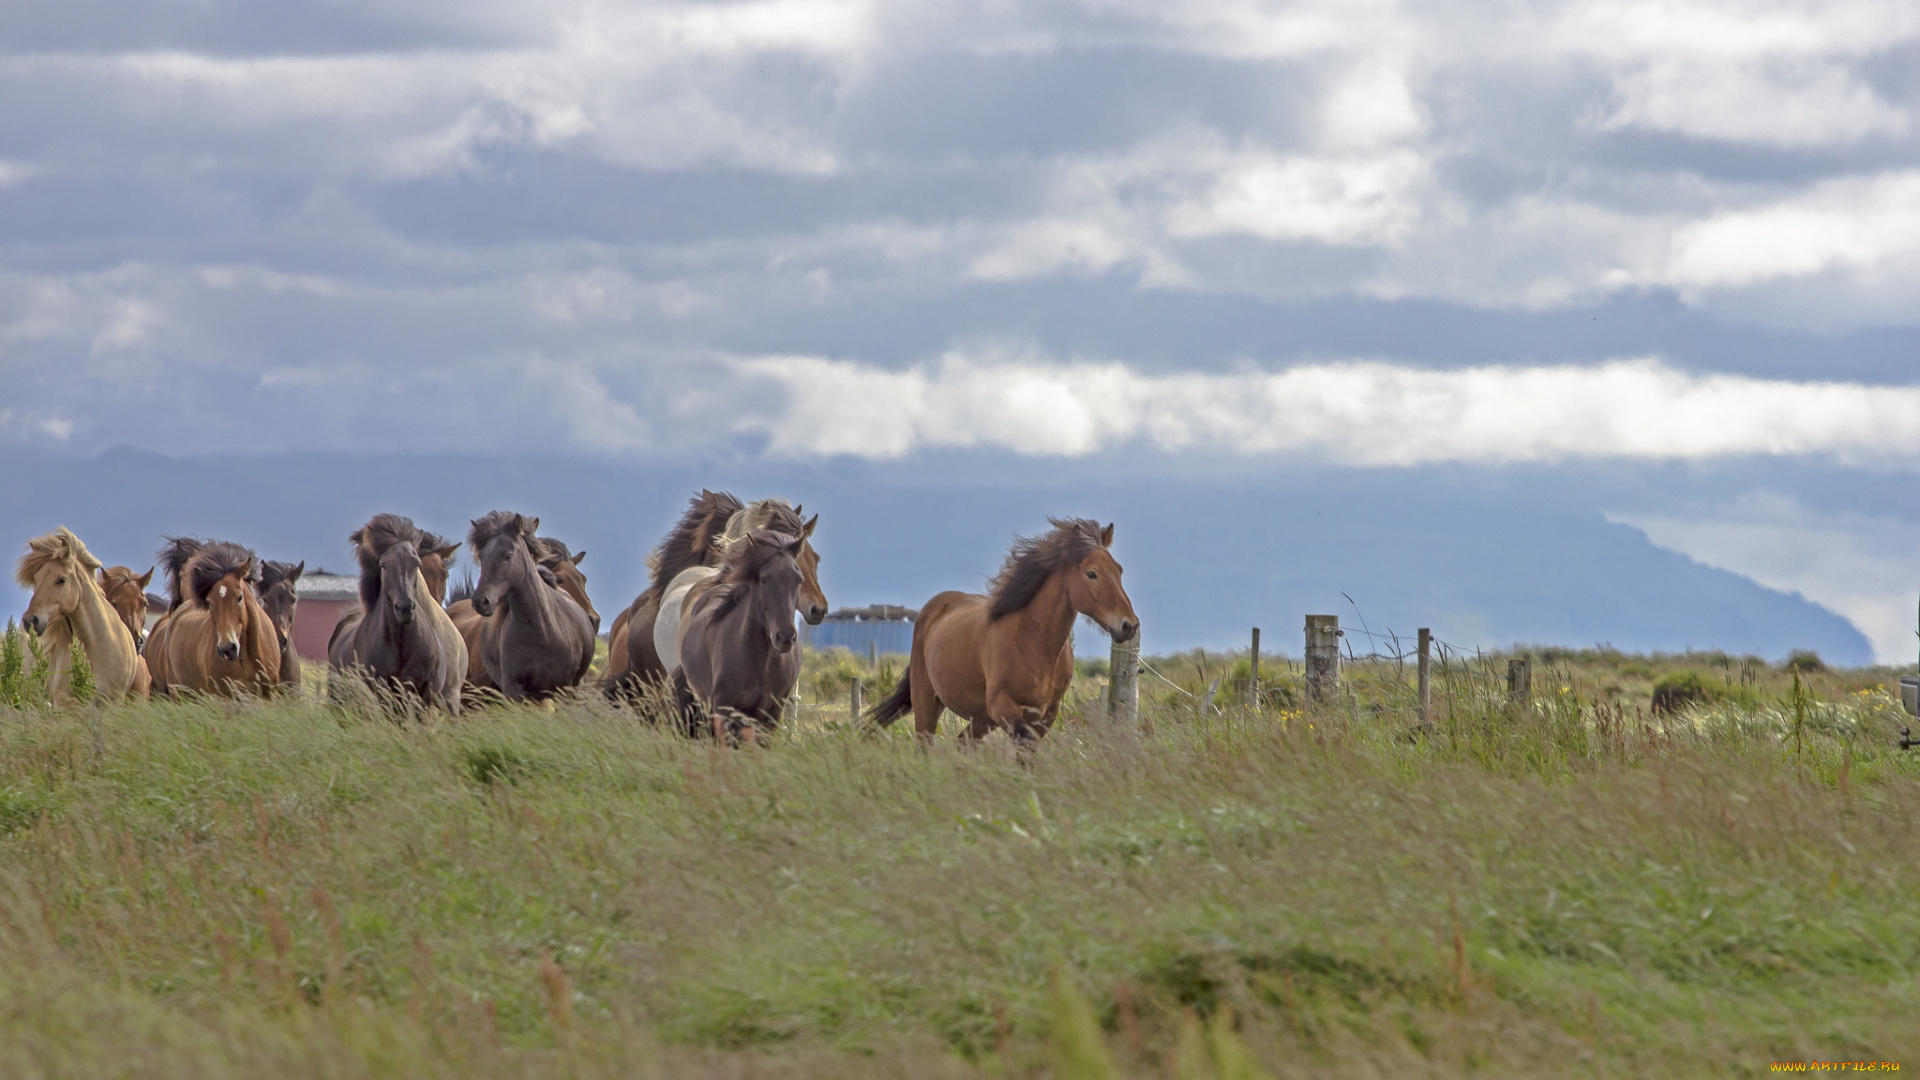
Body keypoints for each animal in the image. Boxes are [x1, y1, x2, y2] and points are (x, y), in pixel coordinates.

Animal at [672, 526, 806, 734]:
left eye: (798, 579)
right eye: (764, 579)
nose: (785, 637)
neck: (762, 664)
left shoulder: (771, 715)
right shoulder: (725, 710)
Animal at [871, 518, 1136, 745]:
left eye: (1120, 570)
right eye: (1092, 573)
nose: (1129, 625)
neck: (1033, 643)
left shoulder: (1046, 715)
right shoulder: (1002, 706)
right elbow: (1022, 739)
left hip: (981, 718)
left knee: (962, 743)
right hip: (928, 703)